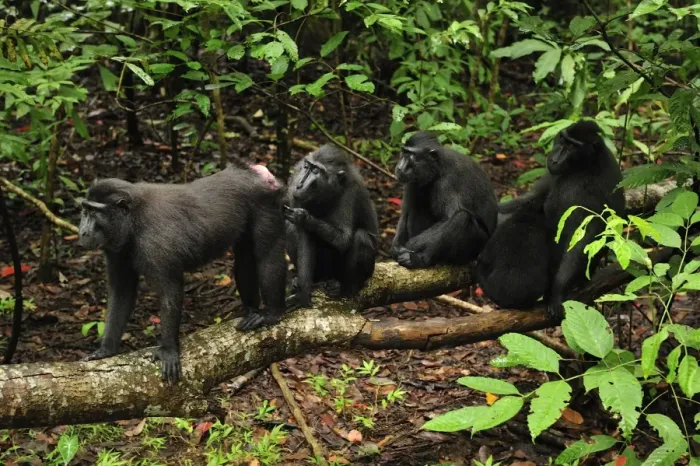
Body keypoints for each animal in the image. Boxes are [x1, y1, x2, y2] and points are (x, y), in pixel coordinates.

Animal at [78, 166, 287, 384]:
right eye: (85, 210)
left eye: (94, 212)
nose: (83, 232)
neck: (133, 220)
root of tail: (256, 174)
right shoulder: (116, 248)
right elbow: (122, 291)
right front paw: (106, 350)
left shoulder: (155, 244)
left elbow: (170, 291)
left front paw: (168, 349)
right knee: (244, 259)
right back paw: (251, 309)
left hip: (266, 204)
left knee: (268, 254)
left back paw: (272, 313)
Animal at [284, 144, 379, 308]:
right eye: (307, 167)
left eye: (316, 171)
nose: (300, 184)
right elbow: (305, 238)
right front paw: (303, 294)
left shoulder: (350, 191)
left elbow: (344, 239)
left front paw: (303, 218)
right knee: (290, 228)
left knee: (361, 237)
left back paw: (345, 289)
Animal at [391, 131, 498, 269]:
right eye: (403, 152)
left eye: (411, 155)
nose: (399, 168)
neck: (437, 168)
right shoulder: (413, 181)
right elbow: (406, 213)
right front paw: (396, 247)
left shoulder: (447, 182)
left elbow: (448, 218)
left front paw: (411, 246)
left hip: (475, 247)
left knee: (461, 217)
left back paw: (421, 259)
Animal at [476, 120, 625, 320]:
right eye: (562, 140)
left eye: (572, 147)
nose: (554, 158)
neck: (585, 165)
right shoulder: (554, 176)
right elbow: (532, 199)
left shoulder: (586, 190)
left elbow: (582, 239)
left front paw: (557, 292)